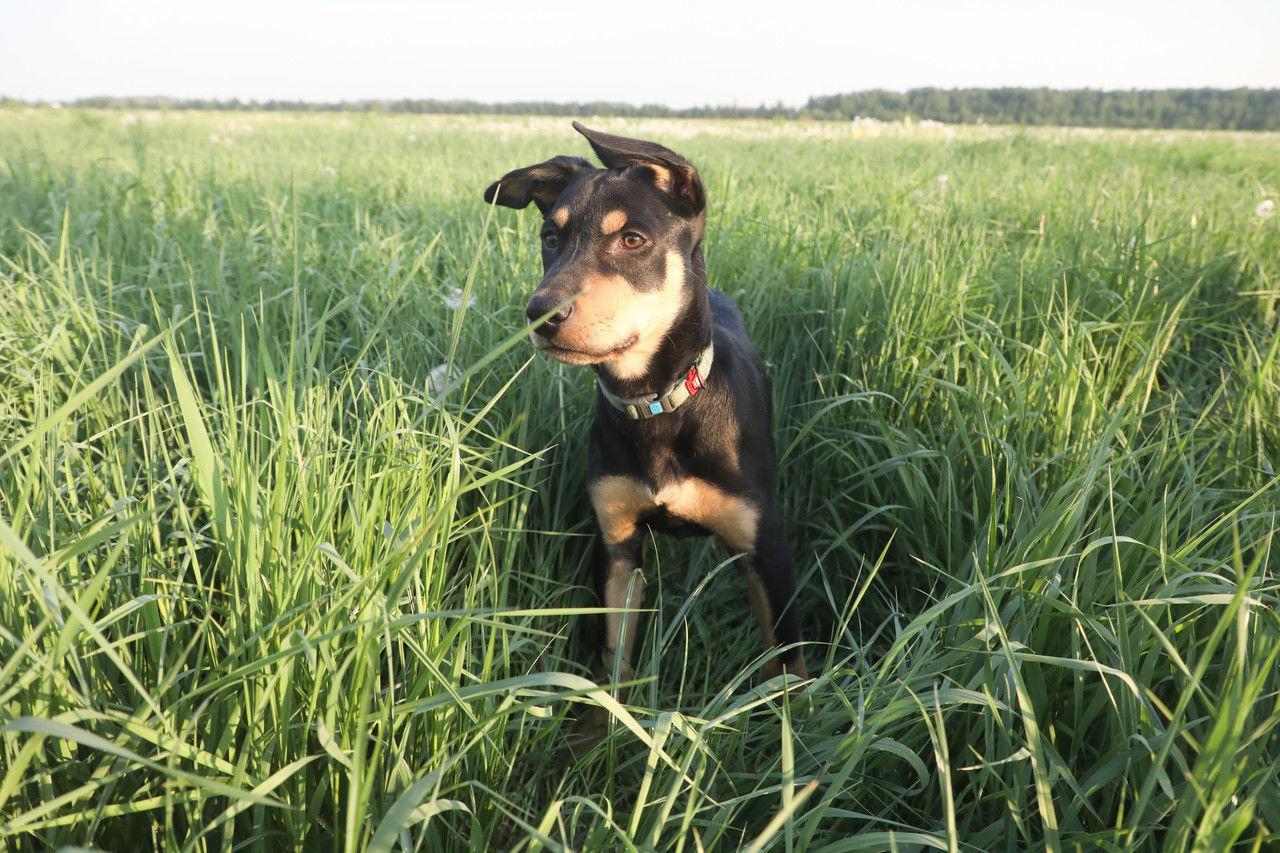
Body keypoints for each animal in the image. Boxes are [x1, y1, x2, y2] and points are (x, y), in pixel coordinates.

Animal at [483, 121, 803, 701]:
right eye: (550, 238)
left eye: (633, 239)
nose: (540, 314)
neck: (656, 404)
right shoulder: (617, 544)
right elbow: (614, 659)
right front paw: (603, 721)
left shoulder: (767, 551)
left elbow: (787, 668)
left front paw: (799, 718)